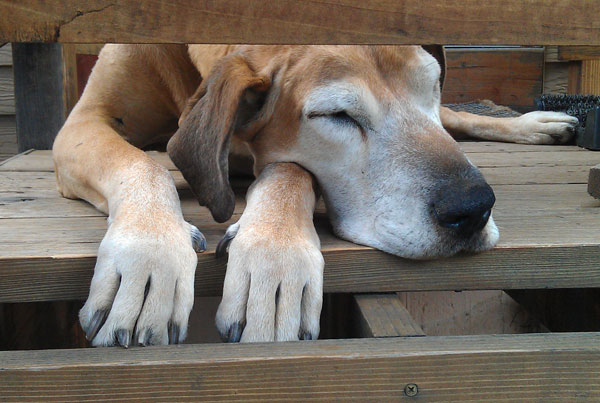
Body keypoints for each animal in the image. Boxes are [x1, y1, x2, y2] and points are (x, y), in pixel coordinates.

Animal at [53, 44, 577, 346]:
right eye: (338, 115)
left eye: (431, 84)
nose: (473, 209)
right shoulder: (80, 124)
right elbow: (141, 163)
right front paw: (148, 256)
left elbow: (290, 169)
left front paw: (275, 264)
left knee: (455, 119)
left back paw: (539, 124)